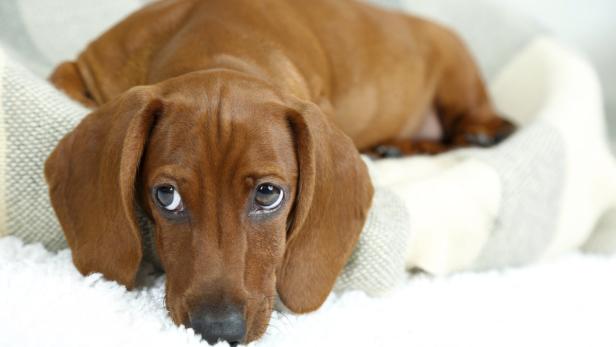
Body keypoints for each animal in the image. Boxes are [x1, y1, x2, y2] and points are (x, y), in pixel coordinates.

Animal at [44, 0, 516, 346]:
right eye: (166, 196)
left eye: (269, 194)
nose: (218, 331)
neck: (218, 40)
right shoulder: (88, 63)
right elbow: (62, 76)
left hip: (457, 72)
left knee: (471, 126)